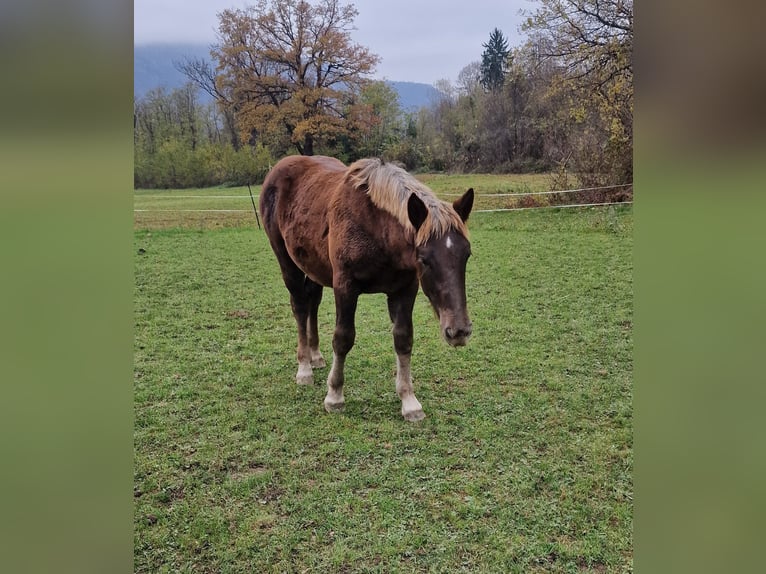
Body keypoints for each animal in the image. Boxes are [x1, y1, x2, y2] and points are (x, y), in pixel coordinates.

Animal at [260, 155, 474, 420]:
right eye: (424, 259)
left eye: (466, 254)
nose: (459, 331)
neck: (375, 228)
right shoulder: (345, 287)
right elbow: (343, 338)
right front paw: (334, 396)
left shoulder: (405, 289)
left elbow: (403, 339)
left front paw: (409, 401)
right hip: (287, 262)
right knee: (300, 306)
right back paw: (304, 368)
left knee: (313, 302)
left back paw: (316, 356)